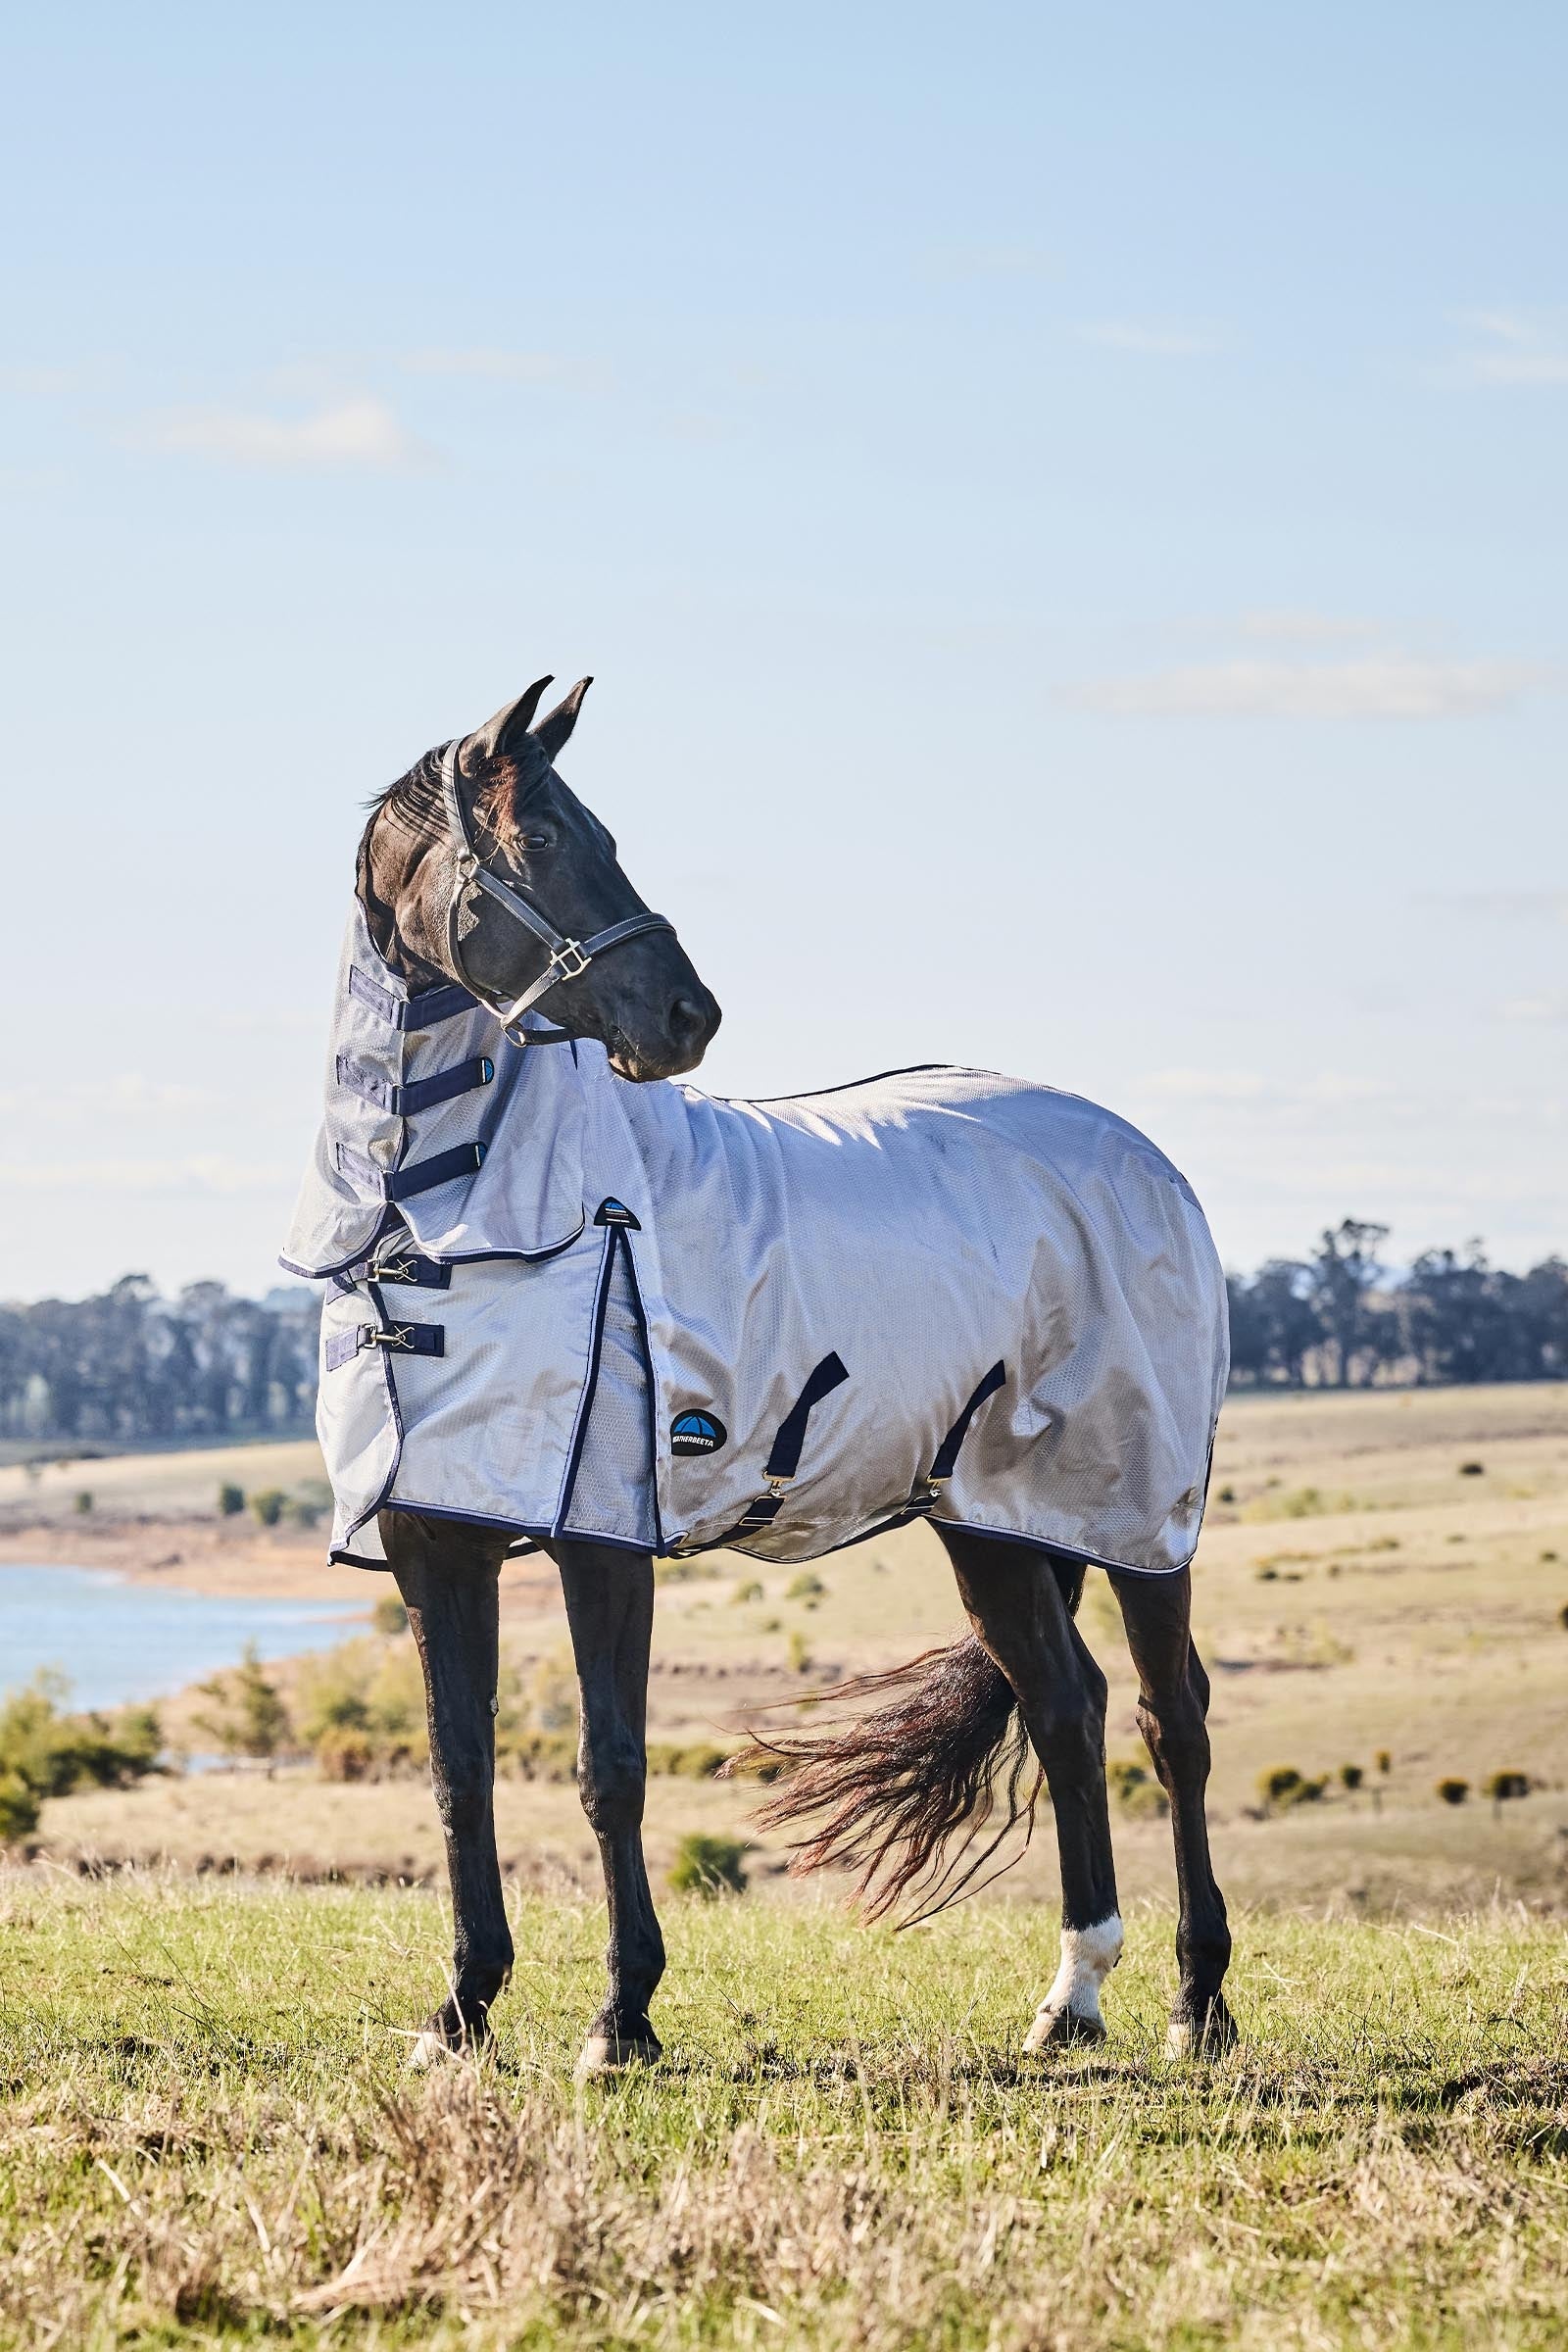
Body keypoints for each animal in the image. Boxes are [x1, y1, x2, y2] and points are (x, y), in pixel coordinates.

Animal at [286, 672, 1235, 2074]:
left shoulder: (602, 1538)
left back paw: (1197, 2002)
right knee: (1065, 1708)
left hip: (1134, 1511)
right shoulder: (433, 1539)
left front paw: (620, 2019)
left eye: (598, 829)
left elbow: (610, 1769)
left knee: (1176, 1722)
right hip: (993, 1521)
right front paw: (460, 2012)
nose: (689, 1017)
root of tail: (1142, 1159)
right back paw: (1070, 2000)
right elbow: (459, 1772)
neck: (458, 1225)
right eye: (545, 837)